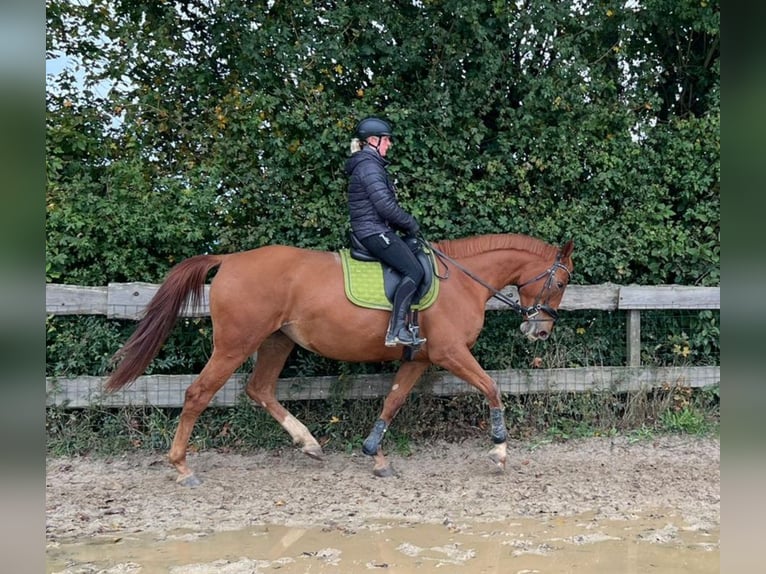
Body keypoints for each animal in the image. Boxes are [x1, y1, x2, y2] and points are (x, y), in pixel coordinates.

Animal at [108, 234, 576, 486]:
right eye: (562, 282)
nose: (540, 331)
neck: (461, 280)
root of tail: (230, 259)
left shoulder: (421, 358)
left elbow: (392, 399)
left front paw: (375, 454)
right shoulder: (450, 353)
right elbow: (492, 387)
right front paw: (499, 451)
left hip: (276, 342)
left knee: (260, 389)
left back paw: (309, 444)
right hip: (235, 344)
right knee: (197, 393)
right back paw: (182, 467)